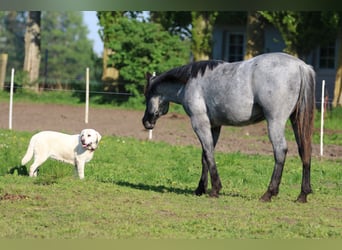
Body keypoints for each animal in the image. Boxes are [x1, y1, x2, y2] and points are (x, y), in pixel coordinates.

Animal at [142, 52, 316, 201]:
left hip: (275, 122)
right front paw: (201, 189)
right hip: (296, 120)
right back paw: (303, 195)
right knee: (304, 151)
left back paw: (269, 193)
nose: (146, 122)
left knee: (280, 151)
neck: (190, 82)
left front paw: (214, 189)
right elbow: (205, 156)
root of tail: (301, 66)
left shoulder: (199, 123)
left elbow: (208, 153)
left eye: (147, 95)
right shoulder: (214, 126)